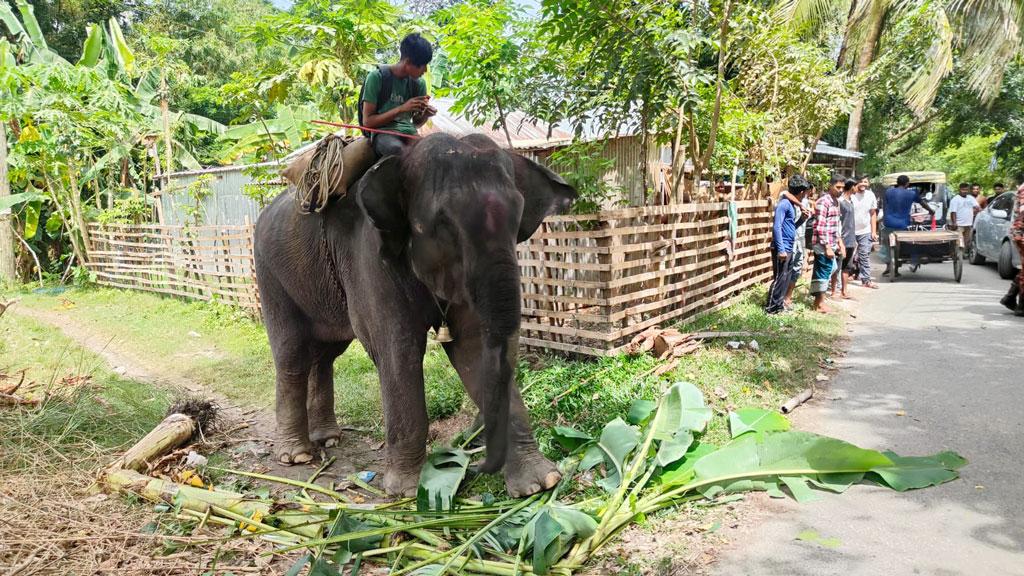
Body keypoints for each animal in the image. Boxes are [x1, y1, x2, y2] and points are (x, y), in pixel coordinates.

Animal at [250, 132, 577, 496]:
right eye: (442, 223)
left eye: (518, 217)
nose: (476, 458)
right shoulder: (369, 258)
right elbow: (398, 350)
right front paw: (408, 490)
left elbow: (473, 348)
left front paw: (541, 483)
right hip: (270, 273)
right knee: (291, 353)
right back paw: (297, 456)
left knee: (325, 354)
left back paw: (329, 439)